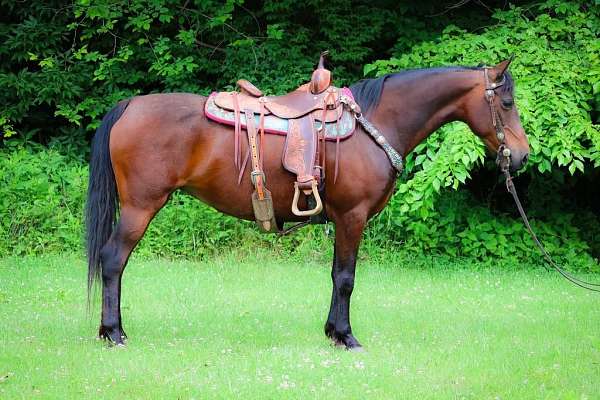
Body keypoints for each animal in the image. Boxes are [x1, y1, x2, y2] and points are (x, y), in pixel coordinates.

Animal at [85, 57, 528, 348]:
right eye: (507, 104)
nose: (522, 156)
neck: (374, 123)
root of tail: (130, 105)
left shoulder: (342, 220)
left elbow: (336, 275)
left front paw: (332, 331)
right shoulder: (352, 217)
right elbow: (346, 278)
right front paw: (346, 337)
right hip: (141, 207)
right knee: (113, 259)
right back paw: (113, 333)